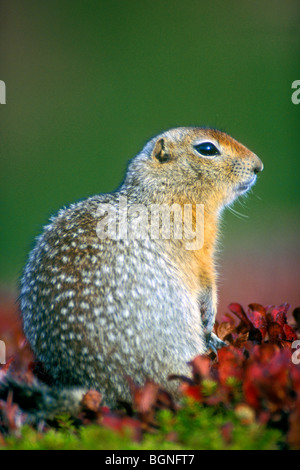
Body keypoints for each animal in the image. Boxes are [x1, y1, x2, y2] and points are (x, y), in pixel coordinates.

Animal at [18, 126, 262, 414]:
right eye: (207, 149)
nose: (259, 166)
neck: (163, 196)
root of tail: (101, 387)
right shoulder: (199, 255)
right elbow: (205, 284)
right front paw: (211, 322)